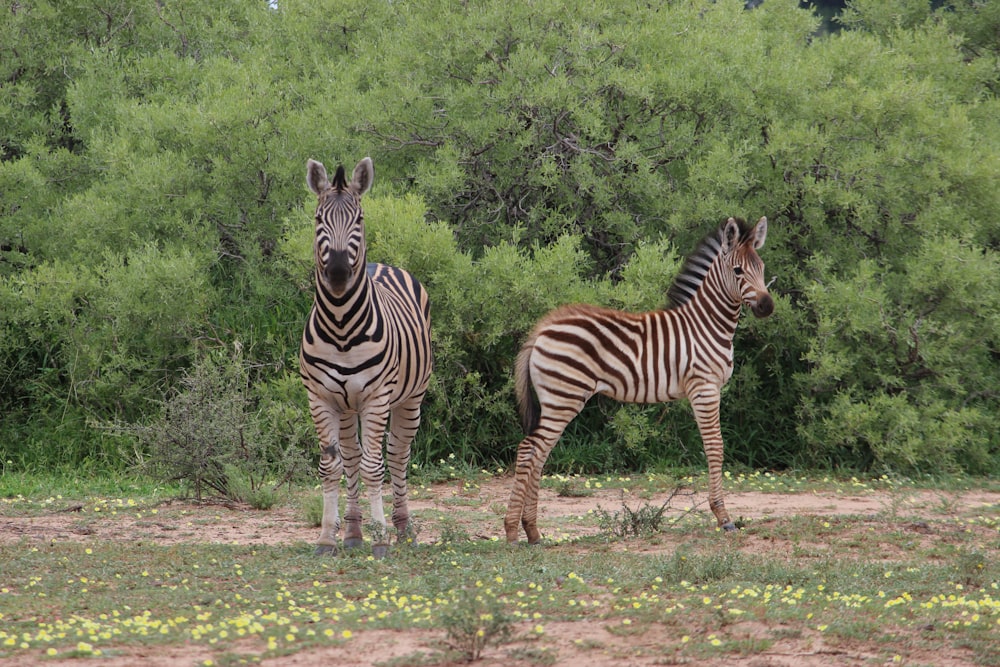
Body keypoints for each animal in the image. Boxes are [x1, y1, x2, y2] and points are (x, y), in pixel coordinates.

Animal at [300, 157, 434, 560]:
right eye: (318, 218)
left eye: (359, 219)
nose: (338, 271)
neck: (342, 325)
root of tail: (382, 264)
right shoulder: (320, 397)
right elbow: (332, 466)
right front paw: (328, 537)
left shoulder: (377, 397)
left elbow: (375, 466)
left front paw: (381, 539)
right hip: (347, 406)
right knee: (351, 455)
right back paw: (353, 531)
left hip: (411, 398)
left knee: (397, 454)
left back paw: (403, 529)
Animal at [508, 217, 772, 544]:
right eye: (738, 271)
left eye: (761, 268)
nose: (767, 306)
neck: (707, 325)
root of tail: (541, 329)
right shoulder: (704, 388)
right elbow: (715, 446)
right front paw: (723, 517)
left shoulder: (706, 390)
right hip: (563, 397)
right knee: (528, 450)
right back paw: (511, 531)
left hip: (556, 399)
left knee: (538, 453)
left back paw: (532, 531)